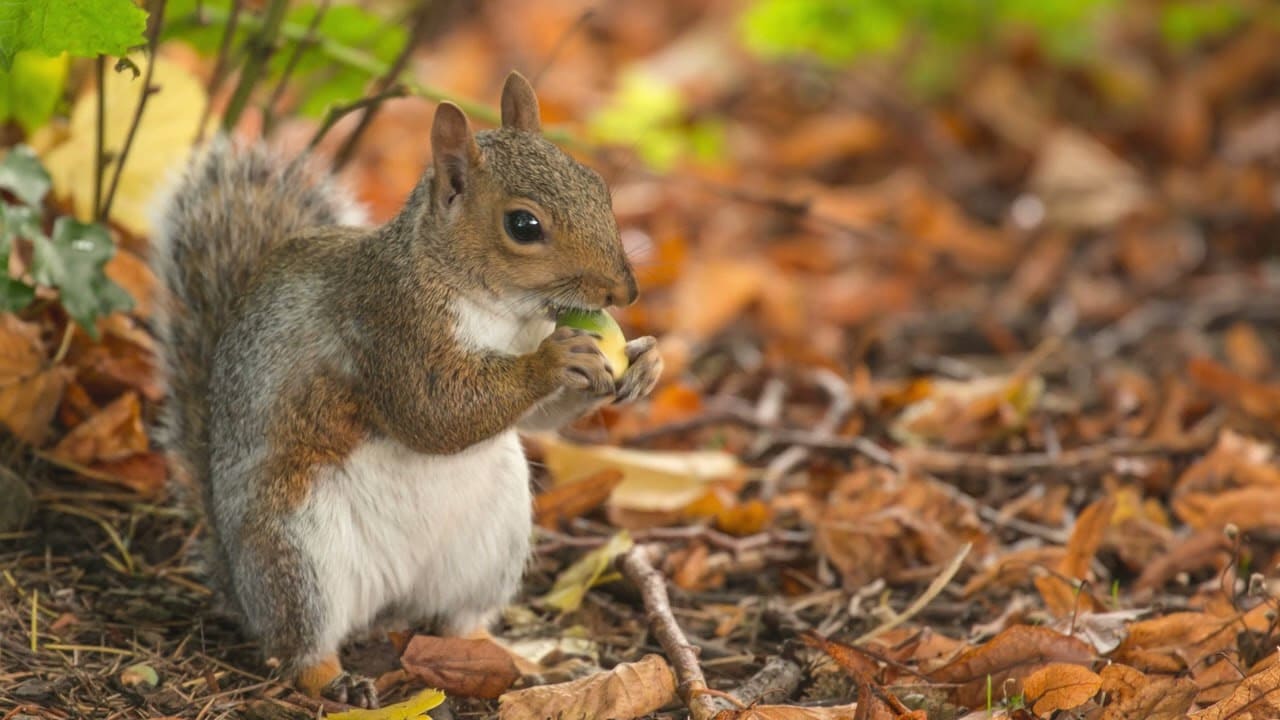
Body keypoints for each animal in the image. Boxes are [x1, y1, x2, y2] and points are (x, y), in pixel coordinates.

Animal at [152, 74, 660, 707]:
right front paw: (554, 360)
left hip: (489, 545)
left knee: (460, 622)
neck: (495, 308)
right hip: (298, 551)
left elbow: (538, 421)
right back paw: (335, 679)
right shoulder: (387, 327)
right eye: (524, 226)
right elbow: (434, 412)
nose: (625, 292)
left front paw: (644, 361)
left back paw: (514, 657)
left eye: (598, 187)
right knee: (299, 644)